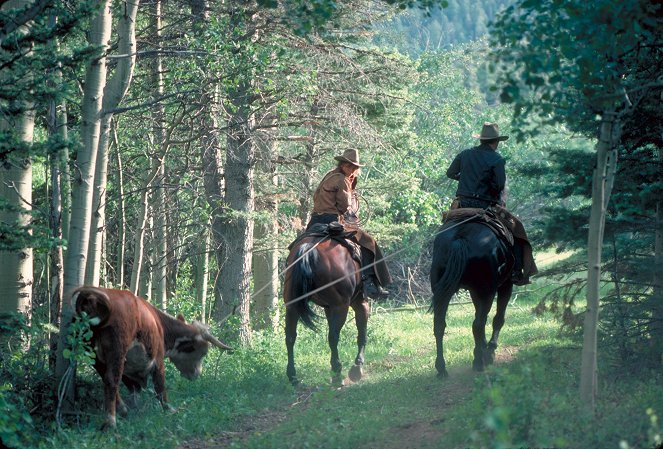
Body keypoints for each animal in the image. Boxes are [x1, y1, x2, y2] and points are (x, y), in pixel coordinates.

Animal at [72, 286, 232, 428]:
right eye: (202, 353)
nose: (197, 374)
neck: (160, 325)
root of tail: (94, 297)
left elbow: (134, 389)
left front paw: (132, 409)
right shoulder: (158, 359)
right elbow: (160, 386)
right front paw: (169, 409)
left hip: (92, 354)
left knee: (106, 377)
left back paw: (121, 410)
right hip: (117, 350)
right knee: (112, 380)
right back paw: (110, 422)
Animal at [282, 233, 368, 384]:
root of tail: (309, 249)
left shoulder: (329, 308)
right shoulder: (359, 302)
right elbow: (362, 332)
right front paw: (357, 367)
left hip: (292, 307)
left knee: (290, 337)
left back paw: (293, 376)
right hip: (341, 307)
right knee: (333, 337)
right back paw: (337, 373)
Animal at [428, 219, 516, 376]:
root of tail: (460, 238)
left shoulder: (475, 293)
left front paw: (482, 347)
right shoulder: (506, 285)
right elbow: (498, 319)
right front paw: (489, 351)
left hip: (443, 292)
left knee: (439, 325)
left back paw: (442, 368)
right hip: (487, 292)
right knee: (478, 324)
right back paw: (479, 362)